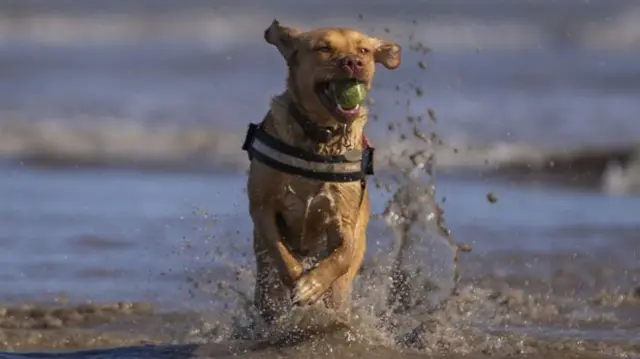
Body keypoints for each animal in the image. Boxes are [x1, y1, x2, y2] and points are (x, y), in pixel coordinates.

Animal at [242, 18, 402, 324]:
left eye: (363, 50)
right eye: (324, 48)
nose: (353, 62)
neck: (321, 137)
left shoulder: (345, 220)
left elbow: (343, 253)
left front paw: (313, 284)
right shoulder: (262, 206)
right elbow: (279, 249)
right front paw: (299, 281)